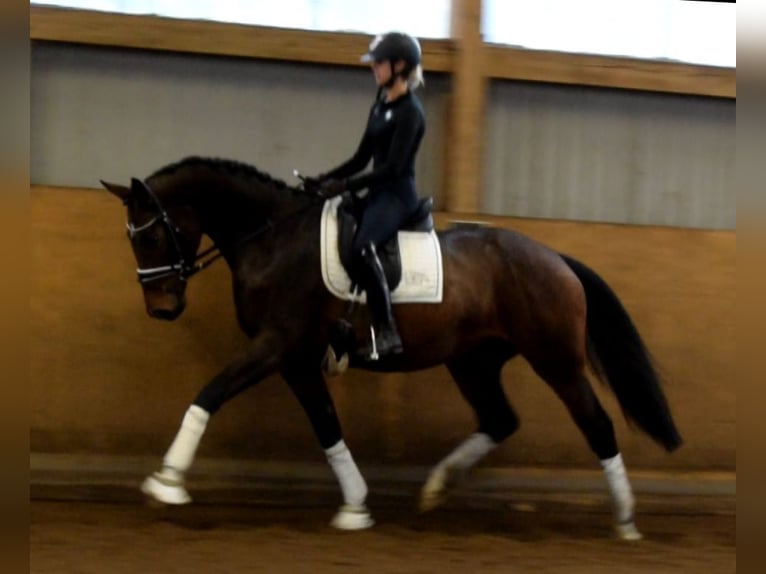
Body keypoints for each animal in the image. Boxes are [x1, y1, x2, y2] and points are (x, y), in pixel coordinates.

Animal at [102, 156, 684, 540]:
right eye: (133, 238)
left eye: (149, 236)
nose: (162, 308)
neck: (271, 239)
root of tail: (556, 259)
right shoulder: (294, 360)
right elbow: (327, 427)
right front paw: (356, 508)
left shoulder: (274, 346)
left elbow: (209, 394)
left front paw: (166, 483)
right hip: (472, 361)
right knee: (500, 419)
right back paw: (436, 488)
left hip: (555, 360)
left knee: (597, 425)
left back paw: (625, 521)